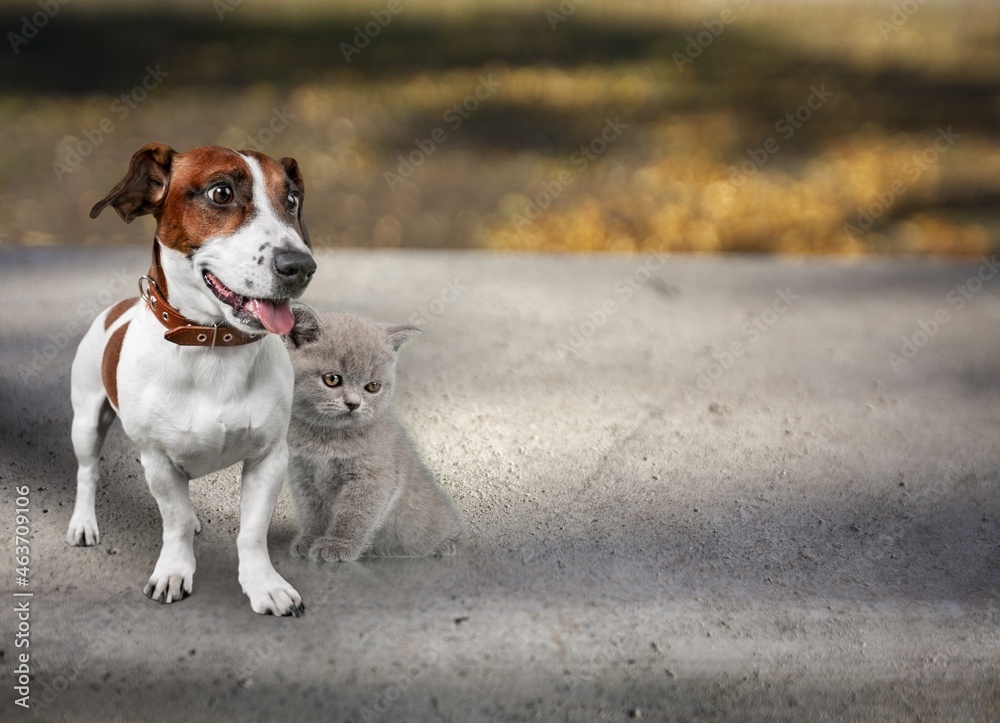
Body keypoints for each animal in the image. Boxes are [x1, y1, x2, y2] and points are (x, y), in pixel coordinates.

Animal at [68, 146, 316, 616]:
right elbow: (176, 521)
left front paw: (263, 584)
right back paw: (83, 522)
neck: (213, 346)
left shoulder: (269, 458)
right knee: (88, 472)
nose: (301, 266)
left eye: (292, 200)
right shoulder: (158, 459)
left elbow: (251, 531)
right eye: (221, 193)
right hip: (86, 422)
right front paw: (173, 572)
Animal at [284, 302, 462, 564]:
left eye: (373, 386)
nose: (353, 404)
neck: (326, 439)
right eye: (332, 379)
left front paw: (337, 545)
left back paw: (445, 546)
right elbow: (311, 512)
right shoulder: (302, 475)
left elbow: (354, 514)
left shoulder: (372, 476)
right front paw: (310, 540)